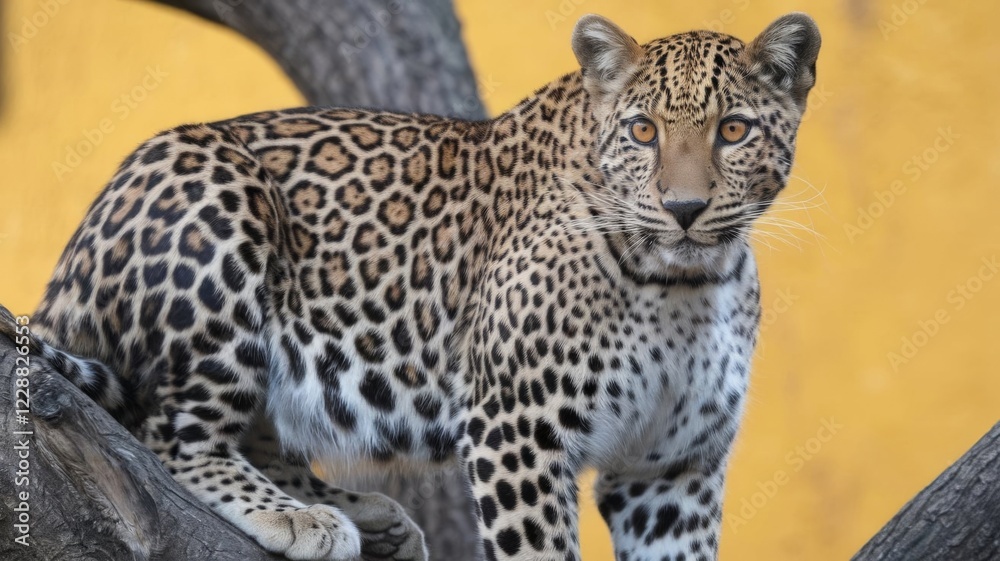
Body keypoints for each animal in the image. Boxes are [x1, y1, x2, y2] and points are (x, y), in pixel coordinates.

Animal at [2, 12, 820, 561]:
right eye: (643, 131)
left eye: (735, 131)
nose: (684, 209)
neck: (689, 283)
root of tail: (78, 247)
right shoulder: (517, 428)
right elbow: (539, 549)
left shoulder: (672, 468)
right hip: (215, 196)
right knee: (166, 433)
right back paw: (302, 518)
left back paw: (366, 515)